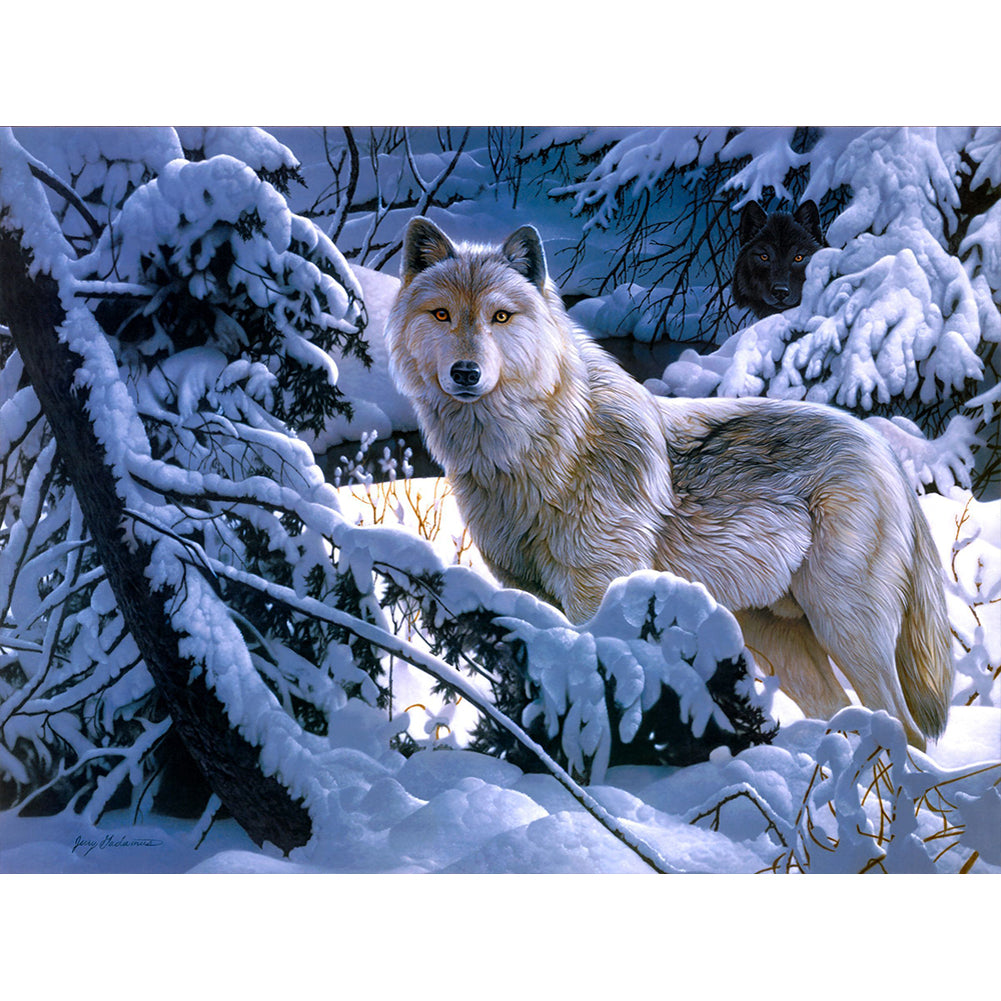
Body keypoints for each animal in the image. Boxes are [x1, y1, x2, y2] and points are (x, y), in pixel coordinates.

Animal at [385, 217, 954, 749]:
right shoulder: (528, 596)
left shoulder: (596, 596)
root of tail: (884, 450)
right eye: (442, 314)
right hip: (778, 640)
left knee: (905, 729)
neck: (534, 452)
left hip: (845, 628)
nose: (465, 372)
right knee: (843, 714)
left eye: (500, 317)